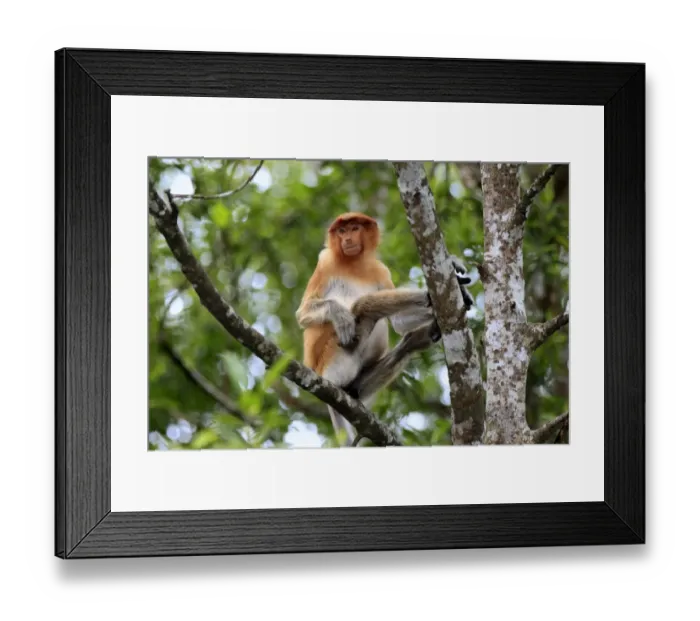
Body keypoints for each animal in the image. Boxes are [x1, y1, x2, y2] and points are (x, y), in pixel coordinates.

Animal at [295, 212, 474, 445]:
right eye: (342, 231)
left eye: (354, 228)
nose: (347, 240)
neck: (354, 263)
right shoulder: (325, 263)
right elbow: (303, 314)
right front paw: (341, 316)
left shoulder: (380, 269)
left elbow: (398, 322)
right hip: (333, 361)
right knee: (364, 305)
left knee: (403, 345)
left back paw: (423, 335)